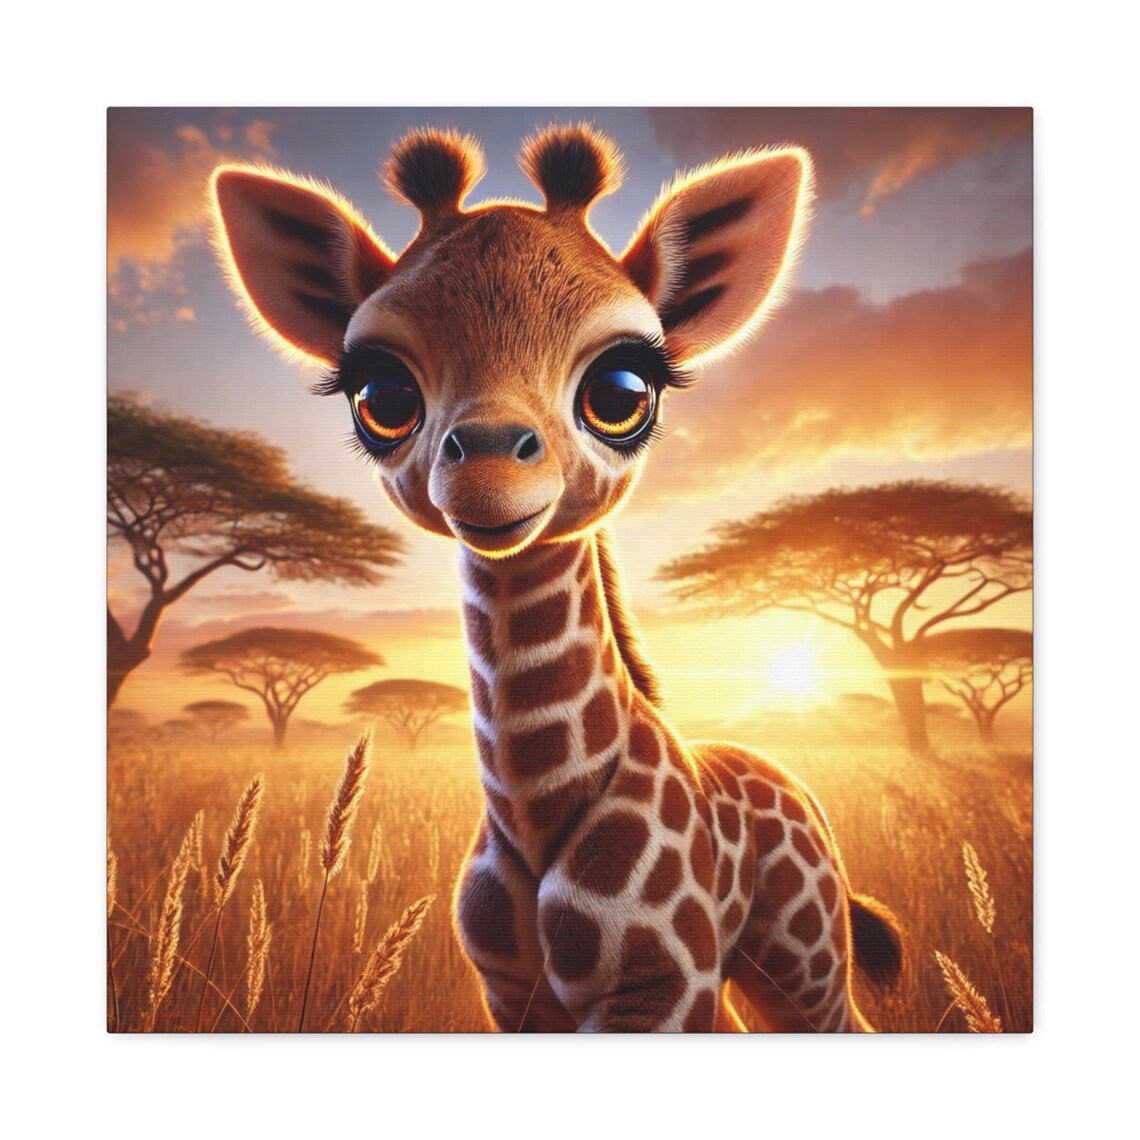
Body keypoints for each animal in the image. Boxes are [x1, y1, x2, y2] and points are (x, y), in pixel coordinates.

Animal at [209, 123, 904, 1032]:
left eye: (622, 389)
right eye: (381, 394)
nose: (488, 475)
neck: (534, 811)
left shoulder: (659, 988)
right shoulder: (513, 997)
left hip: (803, 952)